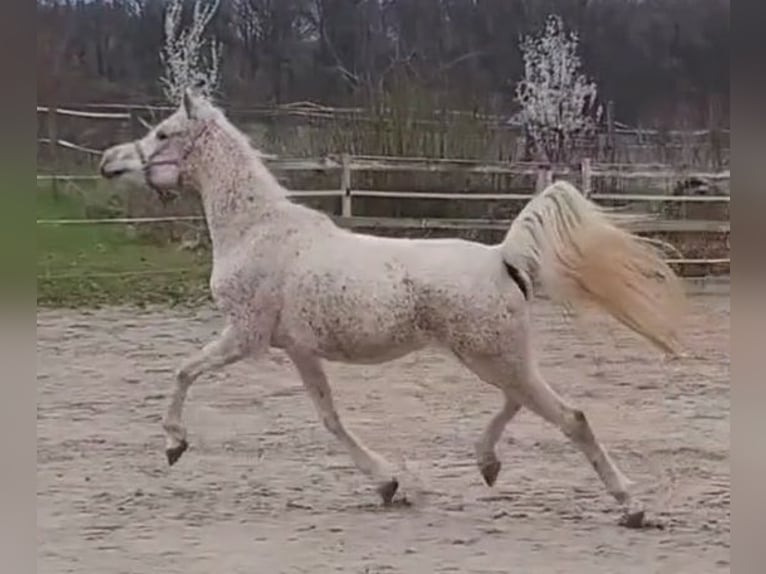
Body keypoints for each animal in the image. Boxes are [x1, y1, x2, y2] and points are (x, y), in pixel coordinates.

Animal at [99, 89, 686, 528]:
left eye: (163, 133)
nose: (108, 162)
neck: (256, 230)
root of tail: (503, 257)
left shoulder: (245, 336)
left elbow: (183, 371)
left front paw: (174, 444)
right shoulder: (299, 350)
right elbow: (330, 419)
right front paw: (387, 483)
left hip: (492, 357)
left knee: (570, 417)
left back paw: (630, 506)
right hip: (495, 358)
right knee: (519, 403)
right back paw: (488, 463)